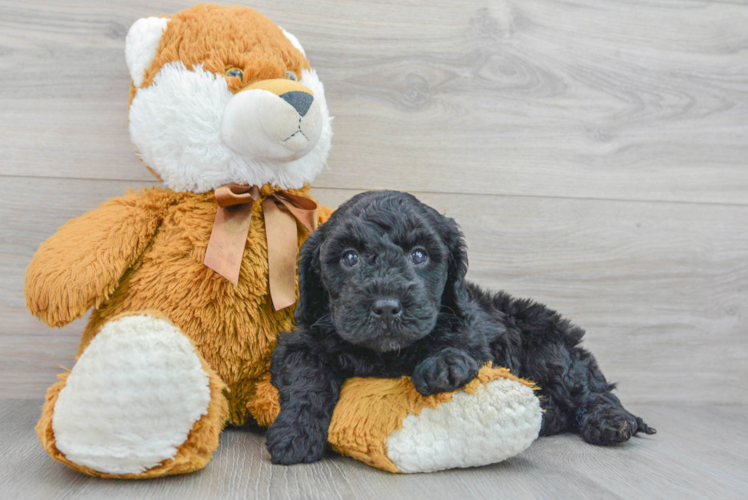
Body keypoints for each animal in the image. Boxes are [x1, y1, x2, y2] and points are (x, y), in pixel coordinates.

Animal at [266, 189, 652, 462]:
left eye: (419, 255)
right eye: (350, 258)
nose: (387, 307)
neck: (387, 354)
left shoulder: (473, 328)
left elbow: (460, 342)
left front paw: (442, 366)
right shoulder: (302, 342)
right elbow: (308, 378)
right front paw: (295, 433)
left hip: (550, 349)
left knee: (593, 390)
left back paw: (612, 422)